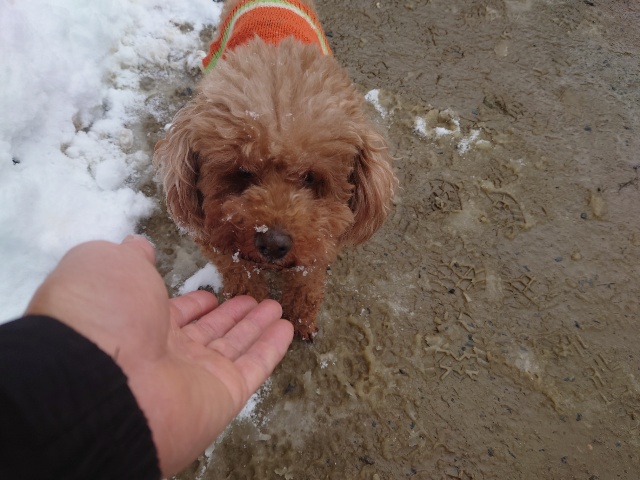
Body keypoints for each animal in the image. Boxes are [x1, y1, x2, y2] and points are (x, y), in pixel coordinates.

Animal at [154, 0, 396, 340]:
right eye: (243, 172)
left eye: (310, 177)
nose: (272, 244)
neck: (274, 50)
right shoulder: (220, 239)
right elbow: (242, 279)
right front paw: (252, 309)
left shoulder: (319, 238)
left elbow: (306, 280)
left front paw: (301, 321)